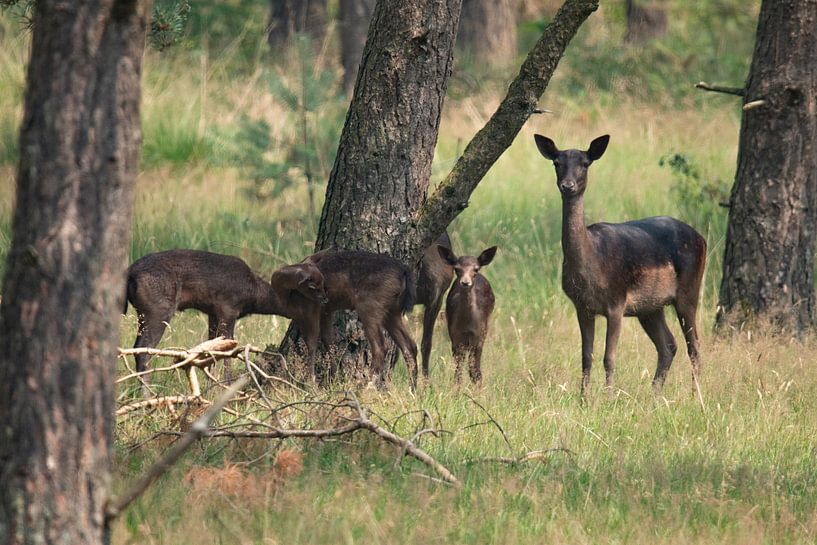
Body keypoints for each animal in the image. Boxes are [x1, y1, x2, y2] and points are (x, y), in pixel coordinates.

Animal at [124, 249, 328, 377]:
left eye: (322, 281)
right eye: (313, 285)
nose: (326, 299)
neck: (251, 294)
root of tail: (130, 273)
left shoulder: (212, 314)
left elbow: (211, 350)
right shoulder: (228, 309)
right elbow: (228, 351)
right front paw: (227, 386)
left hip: (143, 313)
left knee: (137, 348)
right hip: (158, 310)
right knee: (144, 351)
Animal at [304, 249, 419, 391]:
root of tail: (404, 271)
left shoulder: (319, 309)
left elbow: (314, 341)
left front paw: (313, 382)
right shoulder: (327, 310)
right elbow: (328, 340)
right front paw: (334, 379)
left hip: (369, 306)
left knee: (381, 346)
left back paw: (366, 385)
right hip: (393, 311)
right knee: (410, 346)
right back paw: (413, 389)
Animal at [437, 245, 497, 385]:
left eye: (476, 269)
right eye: (457, 268)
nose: (465, 282)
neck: (467, 325)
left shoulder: (479, 336)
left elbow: (475, 372)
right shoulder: (455, 336)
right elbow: (458, 372)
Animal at [534, 134, 707, 400]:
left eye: (585, 163)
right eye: (556, 162)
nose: (568, 185)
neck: (591, 263)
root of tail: (702, 239)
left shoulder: (616, 301)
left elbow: (609, 357)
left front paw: (608, 398)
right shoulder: (582, 305)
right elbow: (586, 357)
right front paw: (583, 400)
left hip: (689, 290)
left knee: (694, 346)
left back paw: (694, 396)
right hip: (650, 307)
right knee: (668, 345)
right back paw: (654, 396)